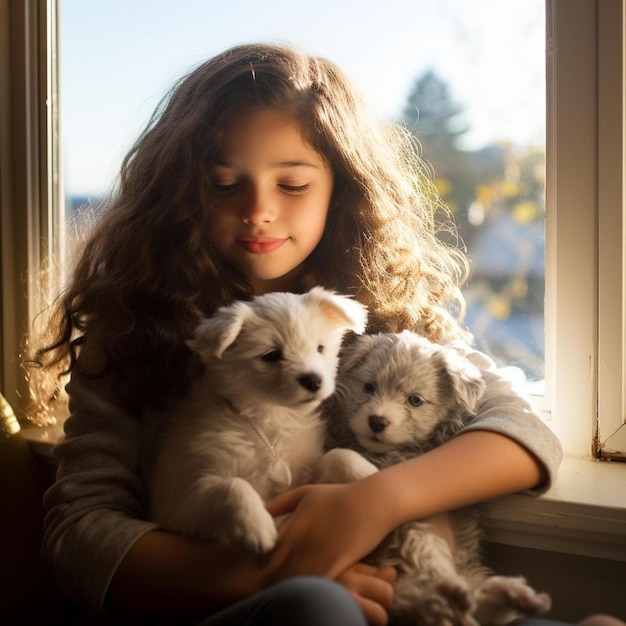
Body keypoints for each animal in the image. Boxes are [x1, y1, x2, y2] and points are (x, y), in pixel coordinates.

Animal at [151, 284, 366, 552]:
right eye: (271, 355)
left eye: (320, 348)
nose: (314, 381)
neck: (269, 417)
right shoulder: (183, 501)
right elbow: (233, 485)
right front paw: (256, 526)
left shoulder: (302, 476)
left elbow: (339, 456)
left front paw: (368, 473)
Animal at [320, 330, 548, 620]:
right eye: (368, 387)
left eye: (415, 400)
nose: (377, 421)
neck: (394, 453)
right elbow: (335, 456)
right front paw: (367, 473)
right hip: (407, 585)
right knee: (435, 602)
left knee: (474, 604)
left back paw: (513, 596)